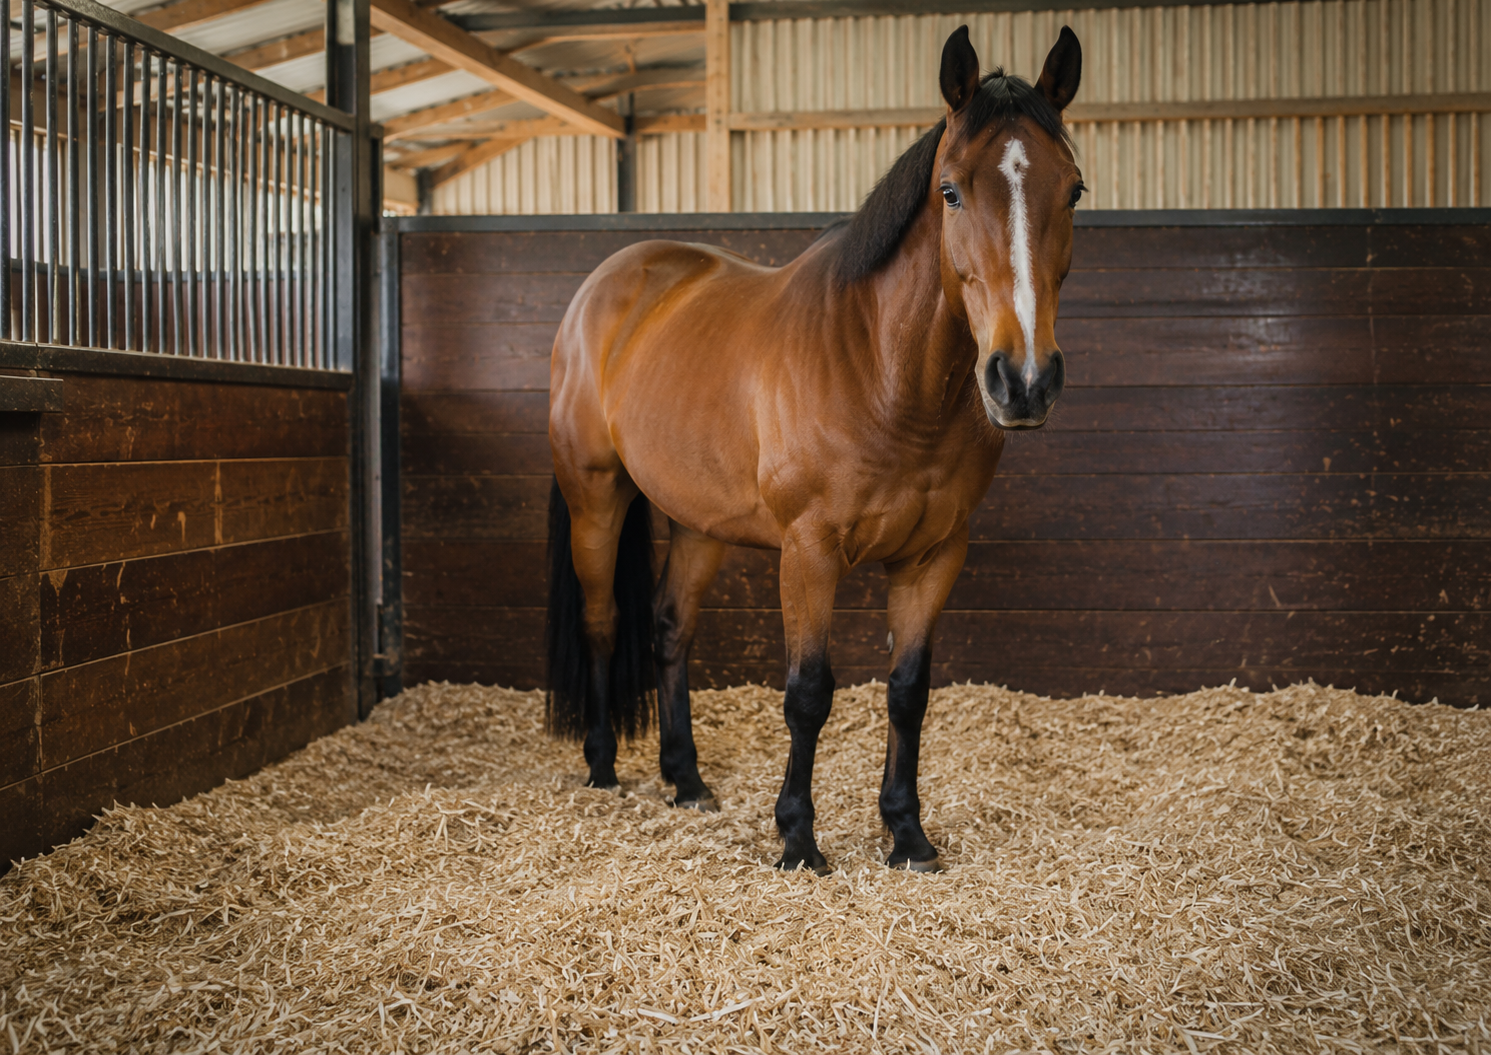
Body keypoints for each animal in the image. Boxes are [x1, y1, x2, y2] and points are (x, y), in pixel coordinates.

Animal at [545, 24, 1084, 875]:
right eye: (951, 191)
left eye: (1072, 192)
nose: (1023, 380)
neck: (881, 375)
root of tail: (608, 285)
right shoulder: (808, 552)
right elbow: (807, 692)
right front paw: (797, 836)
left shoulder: (934, 556)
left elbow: (907, 690)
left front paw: (906, 833)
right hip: (594, 496)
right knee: (603, 620)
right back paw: (602, 766)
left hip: (698, 523)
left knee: (668, 627)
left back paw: (685, 778)